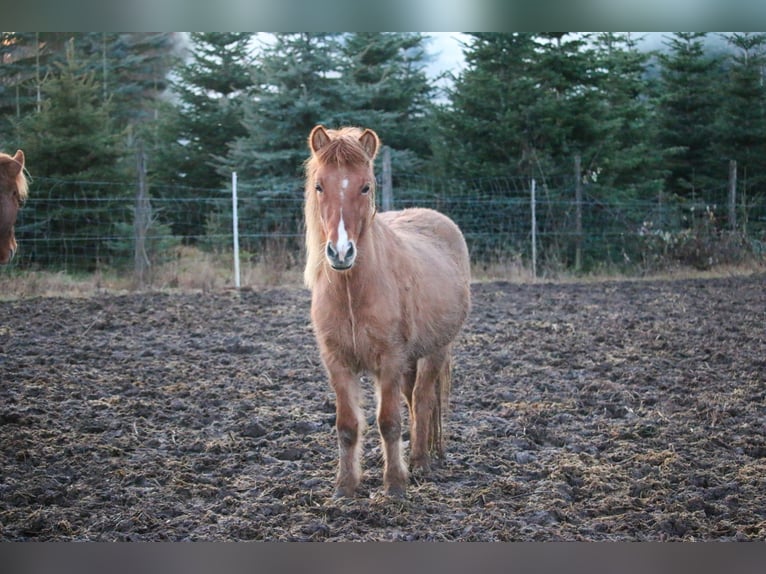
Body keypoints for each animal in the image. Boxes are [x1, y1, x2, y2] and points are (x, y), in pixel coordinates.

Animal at [304, 127, 472, 500]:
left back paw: (421, 463)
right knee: (412, 400)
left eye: (365, 186)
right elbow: (347, 425)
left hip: (435, 351)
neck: (353, 292)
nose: (341, 252)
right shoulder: (337, 362)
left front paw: (395, 485)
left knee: (422, 400)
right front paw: (344, 487)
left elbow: (389, 422)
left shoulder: (390, 360)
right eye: (320, 186)